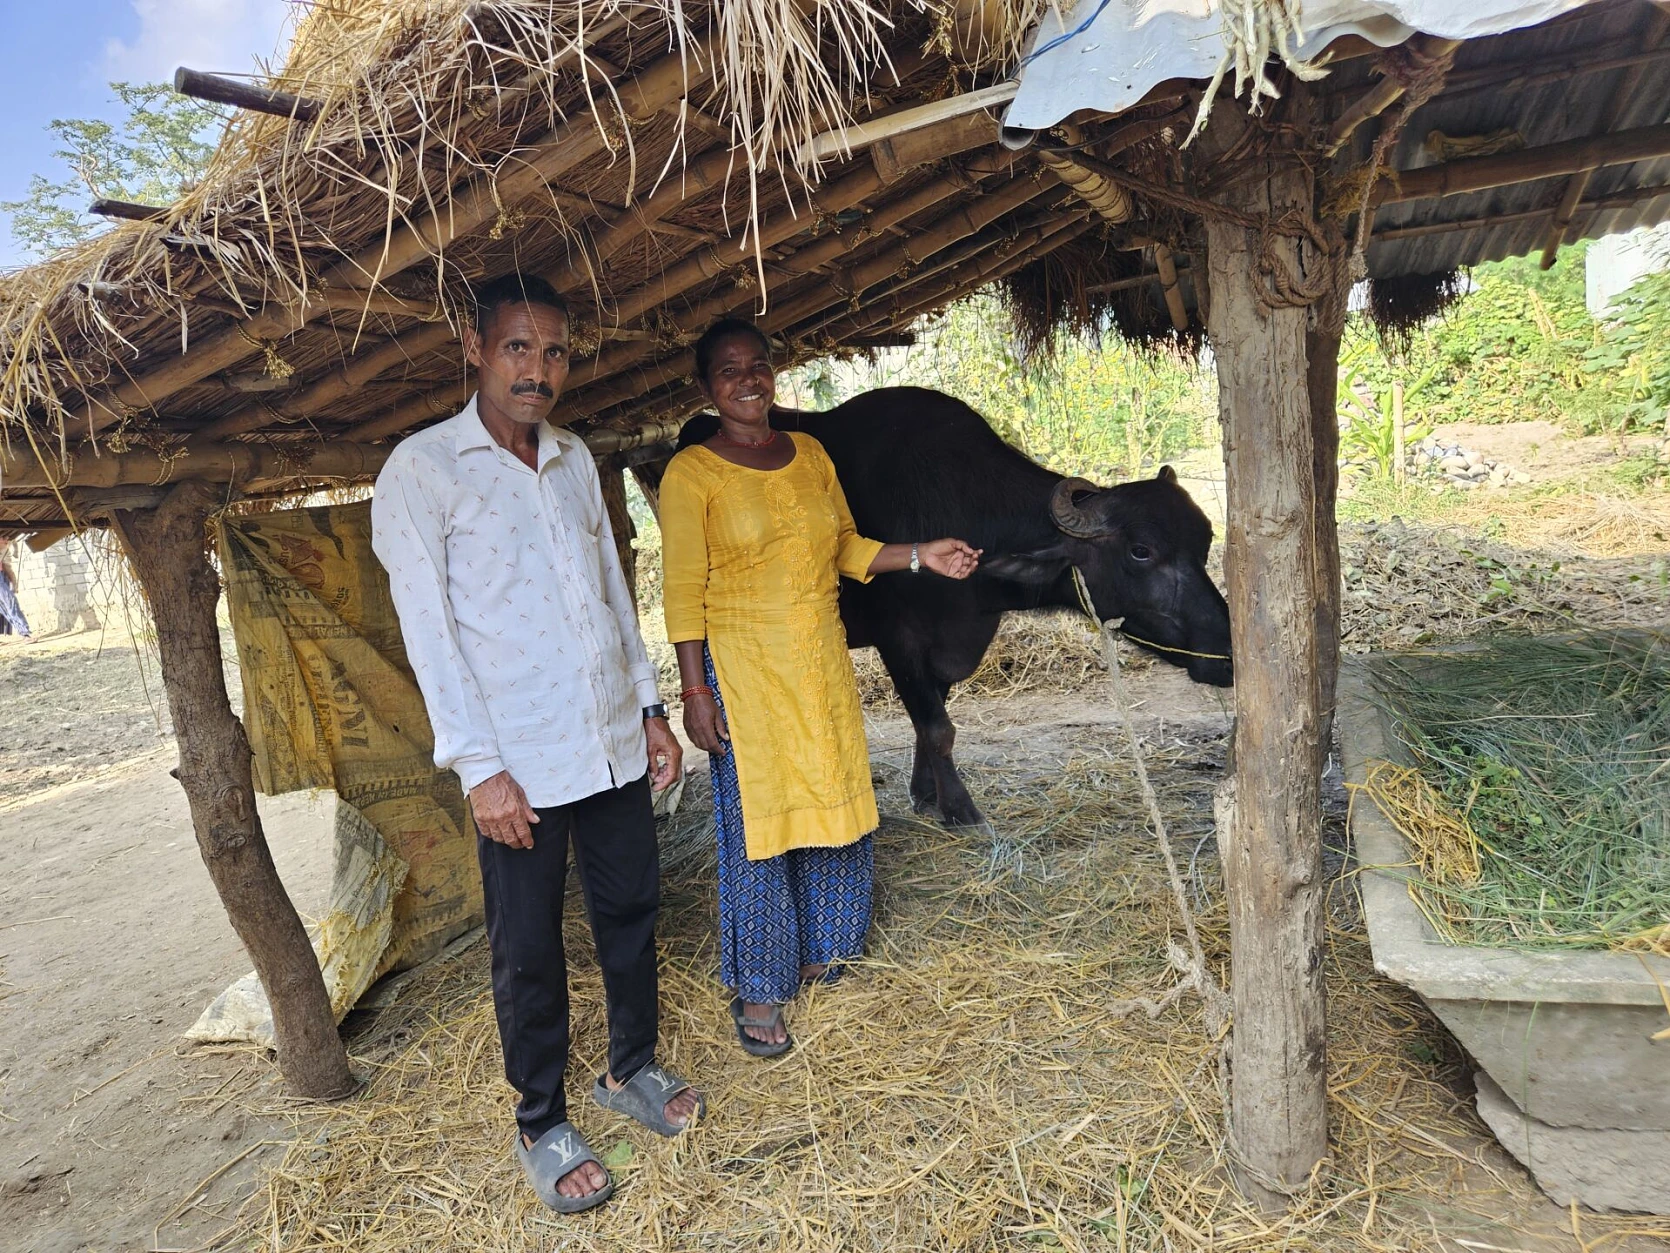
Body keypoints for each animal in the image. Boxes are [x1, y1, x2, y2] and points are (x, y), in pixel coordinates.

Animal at [671, 387, 1235, 828]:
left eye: (1205, 540)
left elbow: (932, 720)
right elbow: (938, 727)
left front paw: (926, 794)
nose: (1227, 653)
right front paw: (961, 810)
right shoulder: (898, 640)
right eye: (1141, 551)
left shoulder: (952, 643)